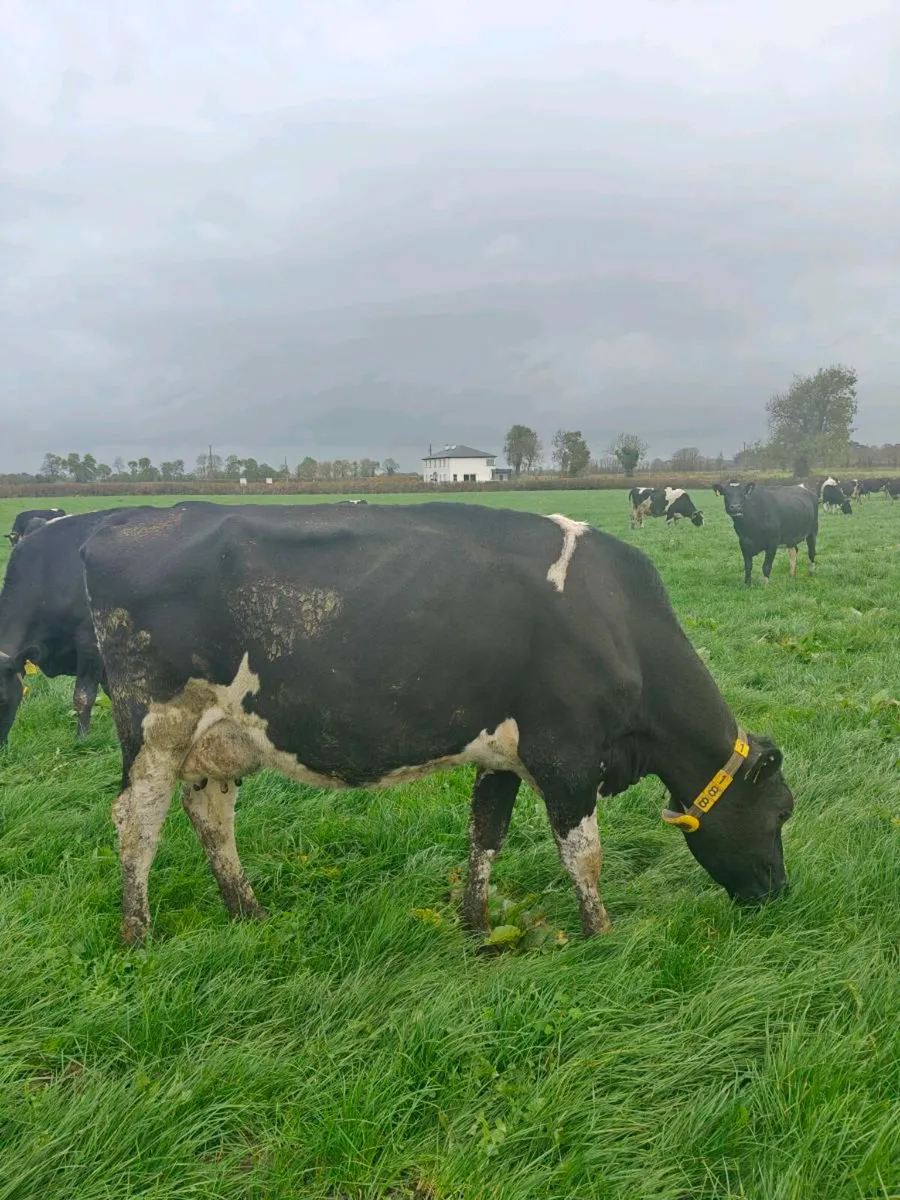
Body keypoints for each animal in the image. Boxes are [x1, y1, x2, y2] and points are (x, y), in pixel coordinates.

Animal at [79, 501, 794, 946]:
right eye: (782, 811)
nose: (781, 894)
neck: (618, 619)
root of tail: (127, 521)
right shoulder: (566, 753)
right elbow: (583, 854)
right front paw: (602, 936)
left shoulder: (503, 756)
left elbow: (485, 838)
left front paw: (474, 925)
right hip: (157, 725)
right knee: (136, 821)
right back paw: (137, 935)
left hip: (216, 740)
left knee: (211, 817)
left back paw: (248, 912)